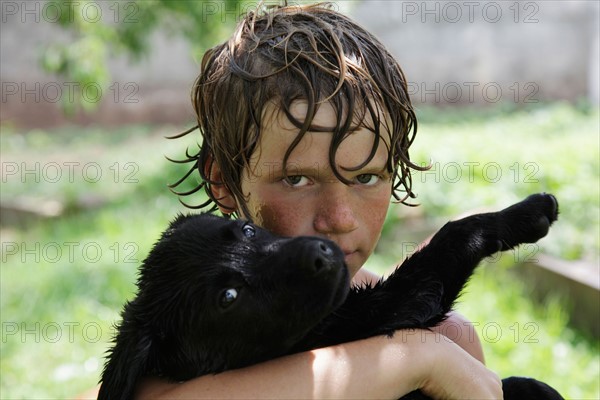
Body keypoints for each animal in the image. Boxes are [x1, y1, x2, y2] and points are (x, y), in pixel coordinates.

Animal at [98, 192, 564, 398]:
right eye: (228, 297)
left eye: (247, 230)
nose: (322, 254)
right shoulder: (386, 308)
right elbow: (452, 237)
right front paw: (529, 212)